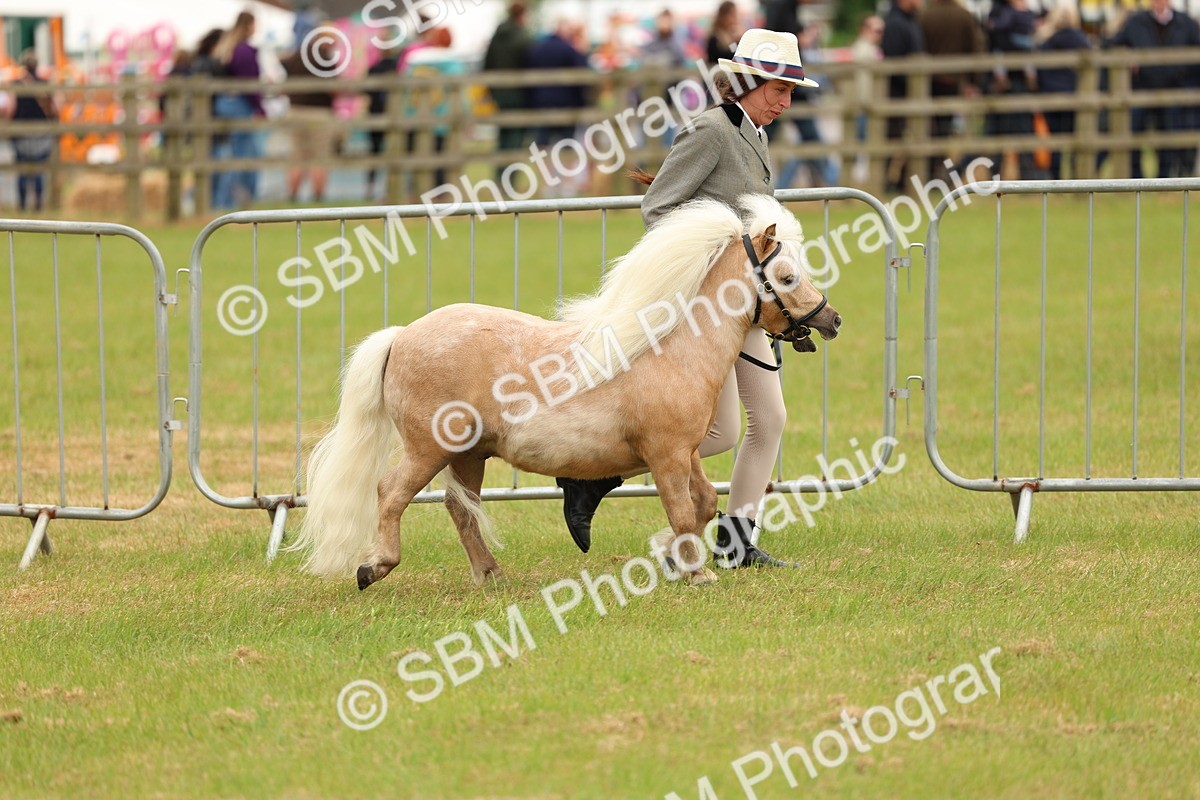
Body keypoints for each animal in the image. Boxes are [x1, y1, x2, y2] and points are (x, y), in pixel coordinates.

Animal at [289, 193, 842, 589]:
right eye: (786, 276)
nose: (832, 319)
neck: (671, 347)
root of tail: (402, 335)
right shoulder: (665, 456)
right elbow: (683, 510)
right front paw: (695, 571)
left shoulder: (685, 451)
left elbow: (705, 504)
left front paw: (669, 555)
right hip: (430, 448)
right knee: (391, 493)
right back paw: (375, 567)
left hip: (469, 454)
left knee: (459, 507)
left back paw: (490, 575)